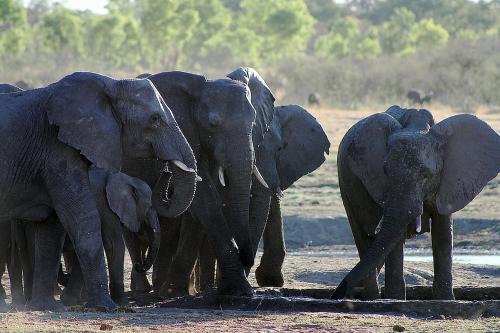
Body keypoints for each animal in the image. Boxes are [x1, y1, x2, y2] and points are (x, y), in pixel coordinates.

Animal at [0, 71, 197, 310]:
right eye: (154, 119)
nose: (167, 170)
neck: (111, 84)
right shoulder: (57, 151)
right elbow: (83, 219)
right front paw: (106, 307)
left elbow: (52, 228)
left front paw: (47, 307)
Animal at [124, 69, 274, 296]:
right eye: (213, 124)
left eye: (254, 122)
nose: (166, 172)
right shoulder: (183, 132)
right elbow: (205, 198)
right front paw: (243, 289)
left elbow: (201, 205)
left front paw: (176, 291)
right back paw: (146, 289)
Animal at [332, 105, 500, 300]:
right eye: (385, 171)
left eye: (426, 175)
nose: (337, 294)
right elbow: (394, 237)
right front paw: (395, 299)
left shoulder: (449, 179)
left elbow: (443, 232)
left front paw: (445, 300)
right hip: (346, 183)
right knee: (363, 235)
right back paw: (372, 298)